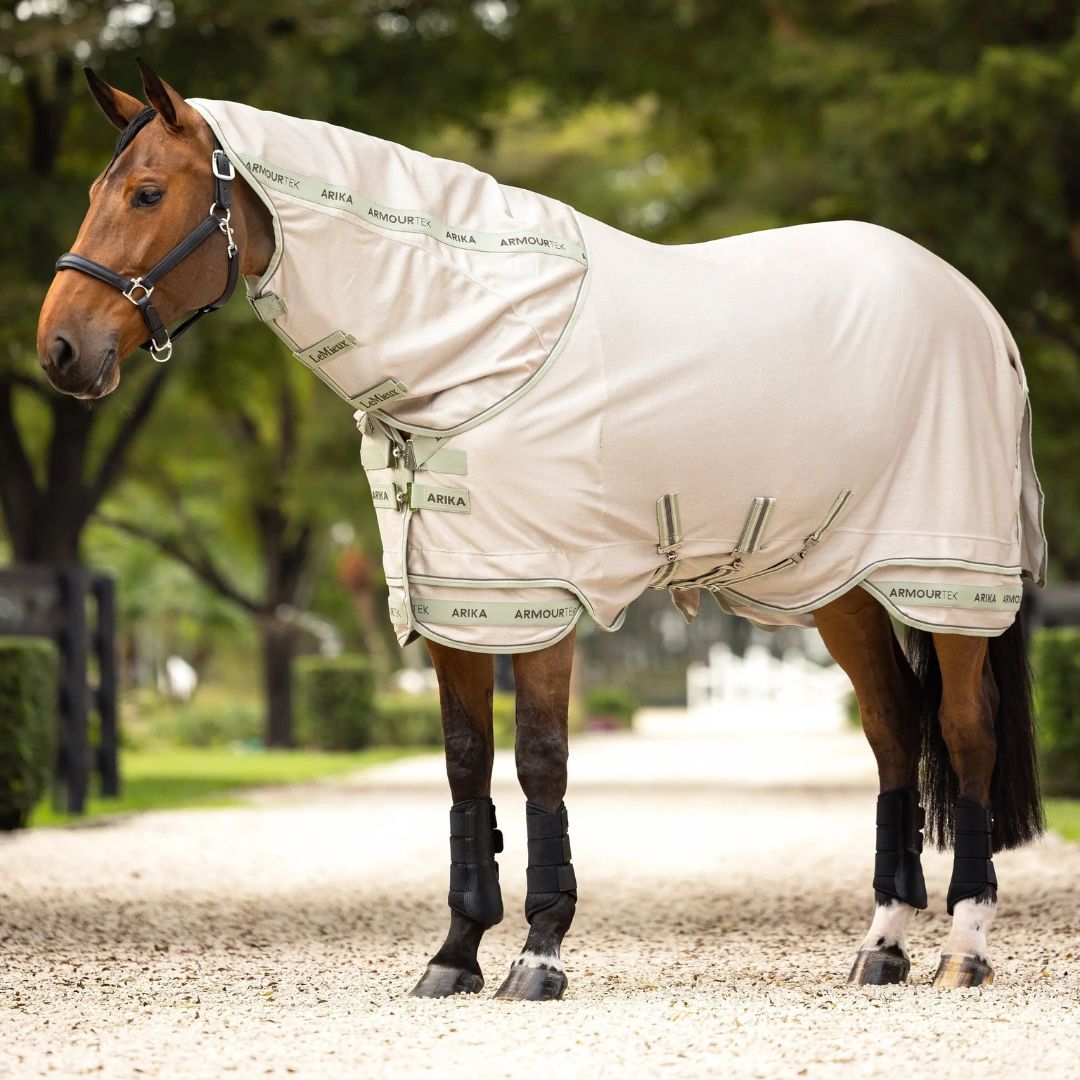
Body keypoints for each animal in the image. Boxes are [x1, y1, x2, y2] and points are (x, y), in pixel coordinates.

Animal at [36, 61, 1044, 1001]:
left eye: (148, 192)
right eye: (89, 191)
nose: (61, 350)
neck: (478, 337)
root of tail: (979, 312)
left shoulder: (541, 596)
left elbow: (540, 762)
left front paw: (539, 952)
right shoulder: (458, 599)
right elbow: (465, 767)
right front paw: (454, 954)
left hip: (951, 581)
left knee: (964, 732)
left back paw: (962, 949)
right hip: (844, 584)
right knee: (892, 731)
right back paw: (883, 946)